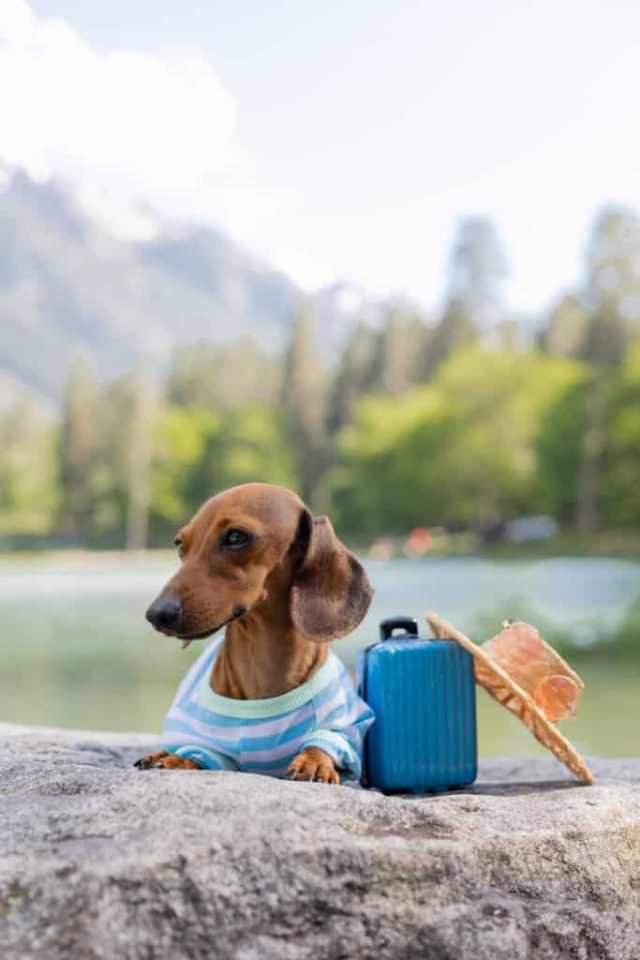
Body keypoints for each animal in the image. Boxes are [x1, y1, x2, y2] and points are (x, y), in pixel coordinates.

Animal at [136, 484, 376, 784]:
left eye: (236, 536)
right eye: (180, 544)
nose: (157, 614)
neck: (262, 661)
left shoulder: (346, 724)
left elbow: (325, 741)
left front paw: (314, 762)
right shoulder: (207, 741)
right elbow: (200, 751)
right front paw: (180, 758)